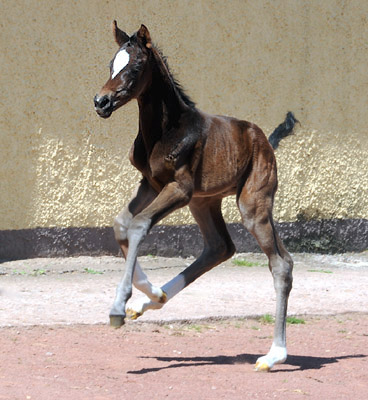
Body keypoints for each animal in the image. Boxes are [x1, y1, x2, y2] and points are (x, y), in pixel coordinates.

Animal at [93, 22, 294, 372]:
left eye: (135, 67)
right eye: (111, 65)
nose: (101, 102)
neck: (164, 129)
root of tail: (265, 140)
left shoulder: (179, 188)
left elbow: (139, 225)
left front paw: (118, 306)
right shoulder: (151, 184)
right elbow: (121, 224)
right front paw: (150, 293)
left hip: (252, 205)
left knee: (281, 264)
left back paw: (274, 355)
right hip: (204, 201)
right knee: (219, 247)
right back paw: (152, 302)